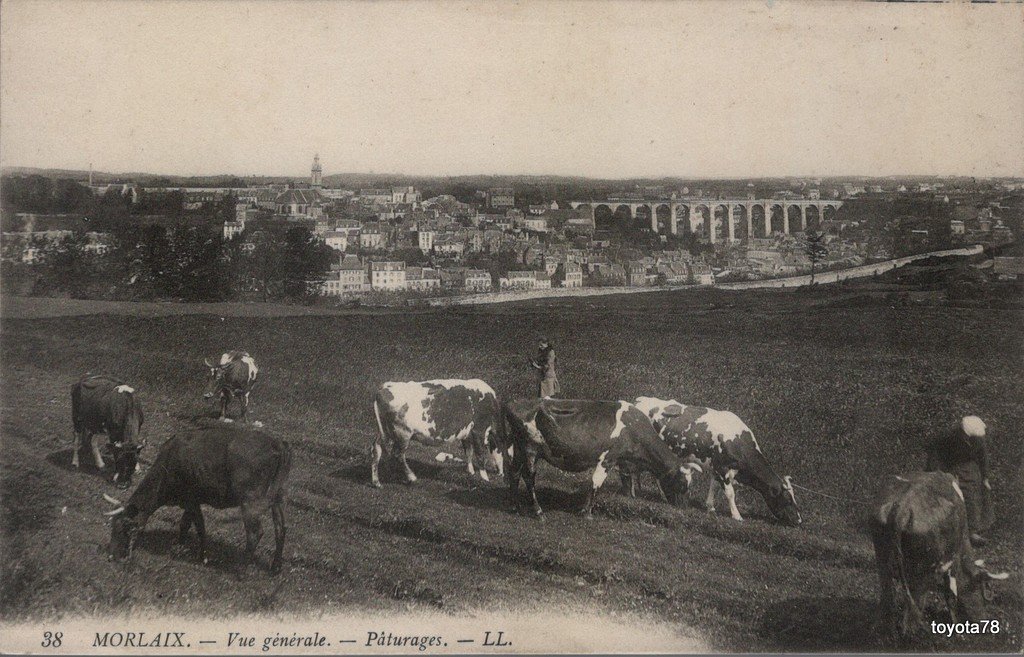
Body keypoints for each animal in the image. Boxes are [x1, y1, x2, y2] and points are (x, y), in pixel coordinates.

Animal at [102, 421, 292, 568]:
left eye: (123, 528)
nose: (111, 557)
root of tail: (277, 443)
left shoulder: (192, 500)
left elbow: (200, 527)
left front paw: (203, 557)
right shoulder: (190, 502)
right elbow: (184, 524)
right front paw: (179, 544)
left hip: (250, 501)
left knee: (255, 533)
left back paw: (240, 569)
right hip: (280, 496)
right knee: (280, 527)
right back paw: (276, 567)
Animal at [372, 378, 507, 487]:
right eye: (504, 450)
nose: (502, 473)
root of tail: (384, 387)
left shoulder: (467, 434)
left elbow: (468, 452)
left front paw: (471, 472)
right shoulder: (479, 430)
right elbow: (480, 455)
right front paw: (485, 479)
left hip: (383, 432)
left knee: (376, 449)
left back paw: (376, 482)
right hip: (403, 433)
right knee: (397, 454)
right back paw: (411, 477)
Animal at [503, 397, 704, 519]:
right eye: (683, 483)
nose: (684, 507)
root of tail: (516, 402)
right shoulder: (608, 458)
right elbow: (595, 483)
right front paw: (587, 513)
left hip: (520, 448)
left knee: (514, 473)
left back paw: (515, 506)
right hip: (530, 448)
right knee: (528, 477)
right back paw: (538, 511)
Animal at [630, 392, 798, 528]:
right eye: (787, 499)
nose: (799, 520)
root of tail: (639, 400)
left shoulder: (716, 467)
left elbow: (714, 487)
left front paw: (710, 507)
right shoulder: (723, 468)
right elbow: (730, 493)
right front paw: (737, 516)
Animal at [868, 468, 1011, 642]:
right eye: (979, 588)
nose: (983, 621)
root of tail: (900, 507)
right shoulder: (952, 562)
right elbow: (950, 595)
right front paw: (958, 633)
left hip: (882, 559)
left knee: (888, 598)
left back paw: (885, 634)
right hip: (922, 570)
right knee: (914, 608)